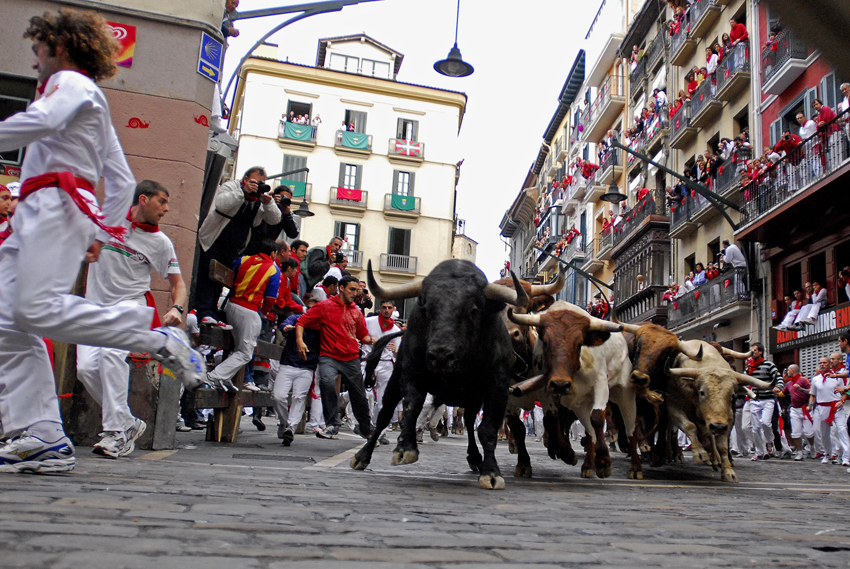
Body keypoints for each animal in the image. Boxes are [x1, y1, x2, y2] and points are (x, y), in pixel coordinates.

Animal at [350, 260, 524, 490]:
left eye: (473, 310)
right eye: (425, 308)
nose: (440, 355)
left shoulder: (498, 388)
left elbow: (487, 429)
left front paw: (491, 472)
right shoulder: (411, 375)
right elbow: (411, 406)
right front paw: (405, 448)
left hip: (472, 398)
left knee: (469, 422)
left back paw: (475, 457)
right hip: (394, 382)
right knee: (384, 415)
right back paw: (362, 456)